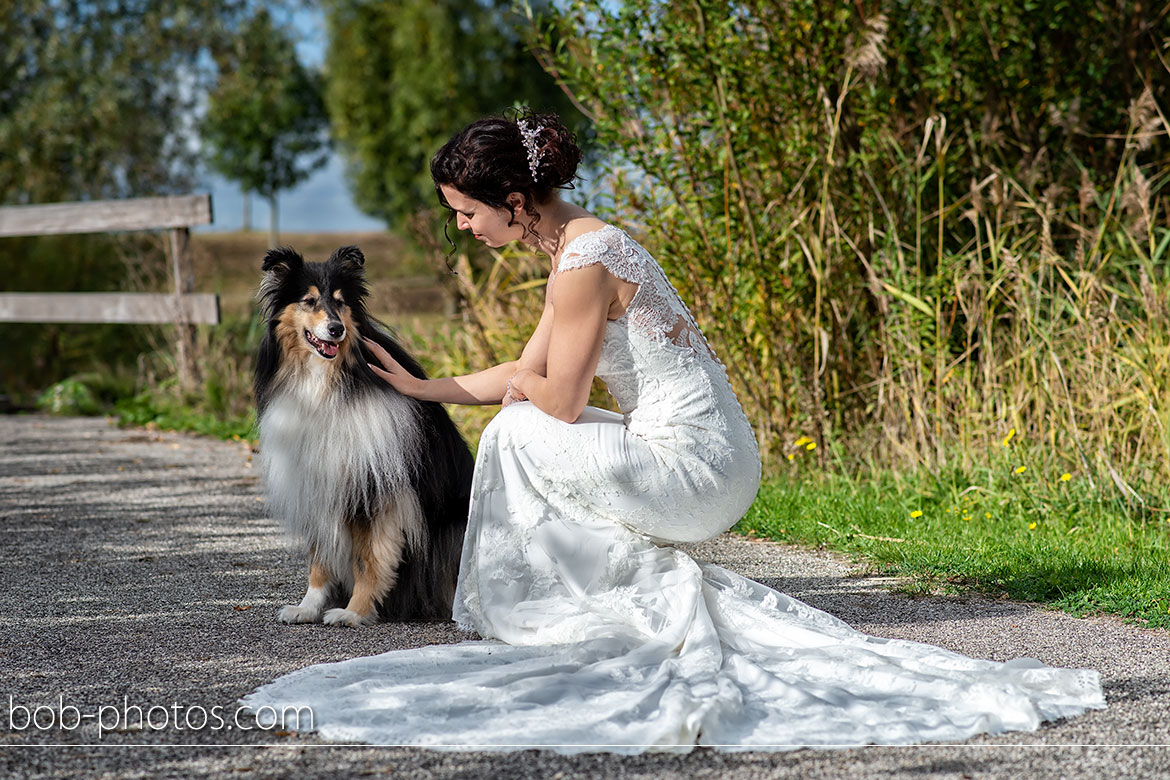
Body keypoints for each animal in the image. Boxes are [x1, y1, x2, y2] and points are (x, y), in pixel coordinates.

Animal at [257, 246, 475, 626]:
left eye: (341, 302)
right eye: (309, 301)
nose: (336, 330)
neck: (325, 382)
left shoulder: (371, 490)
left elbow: (369, 559)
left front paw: (354, 612)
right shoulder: (317, 482)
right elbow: (319, 556)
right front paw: (307, 607)